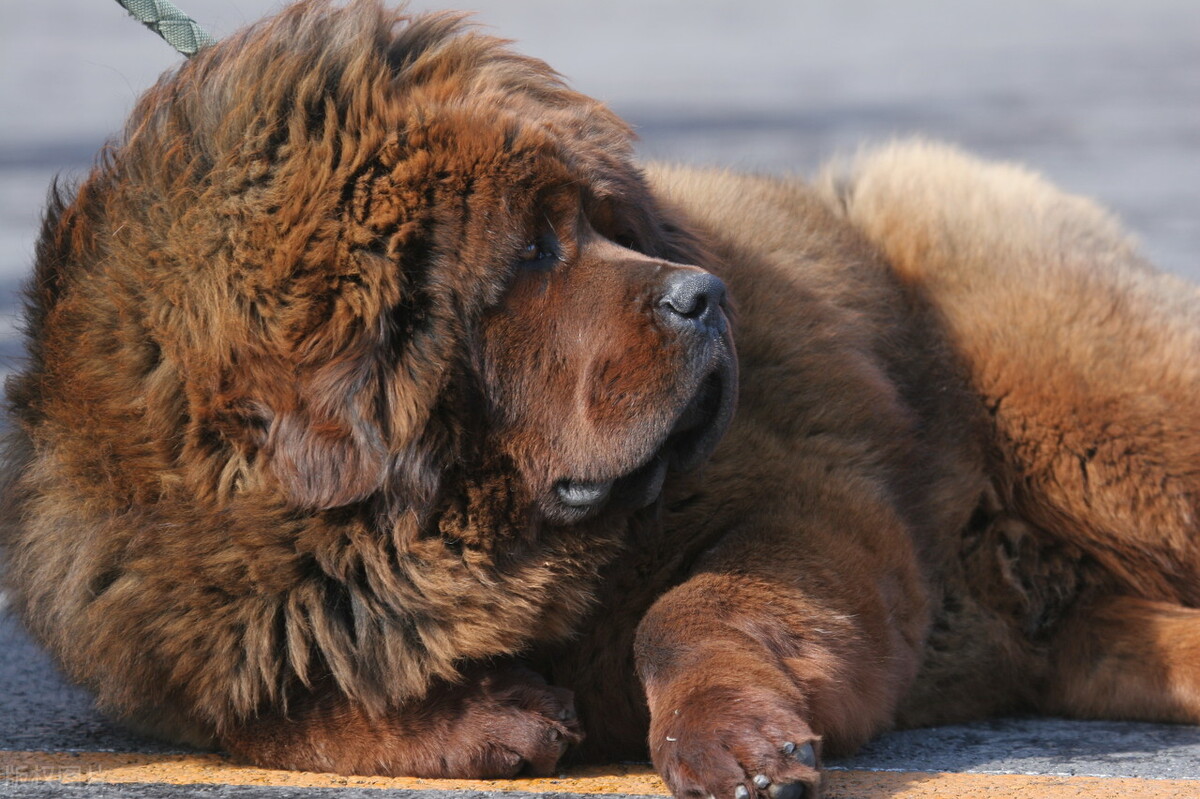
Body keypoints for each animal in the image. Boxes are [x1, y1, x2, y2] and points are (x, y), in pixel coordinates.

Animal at [2, 1, 1200, 796]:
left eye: (604, 222)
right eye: (535, 249)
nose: (705, 295)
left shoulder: (813, 503)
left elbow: (690, 609)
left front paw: (736, 741)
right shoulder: (184, 633)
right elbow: (280, 709)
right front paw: (488, 719)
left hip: (1093, 428)